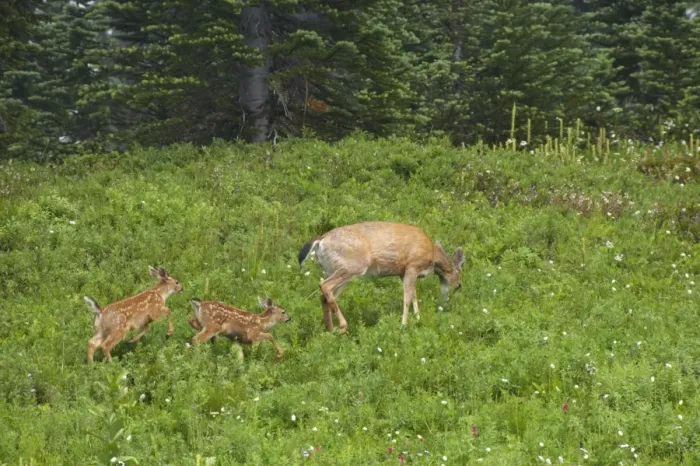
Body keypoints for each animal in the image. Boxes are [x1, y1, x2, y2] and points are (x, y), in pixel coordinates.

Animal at [298, 221, 464, 333]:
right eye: (459, 285)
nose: (446, 304)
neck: (432, 256)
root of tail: (320, 241)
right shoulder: (412, 266)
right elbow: (408, 298)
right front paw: (404, 325)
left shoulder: (403, 272)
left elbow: (413, 296)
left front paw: (418, 319)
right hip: (353, 266)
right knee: (325, 286)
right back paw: (342, 326)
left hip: (334, 270)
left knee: (324, 294)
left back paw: (330, 330)